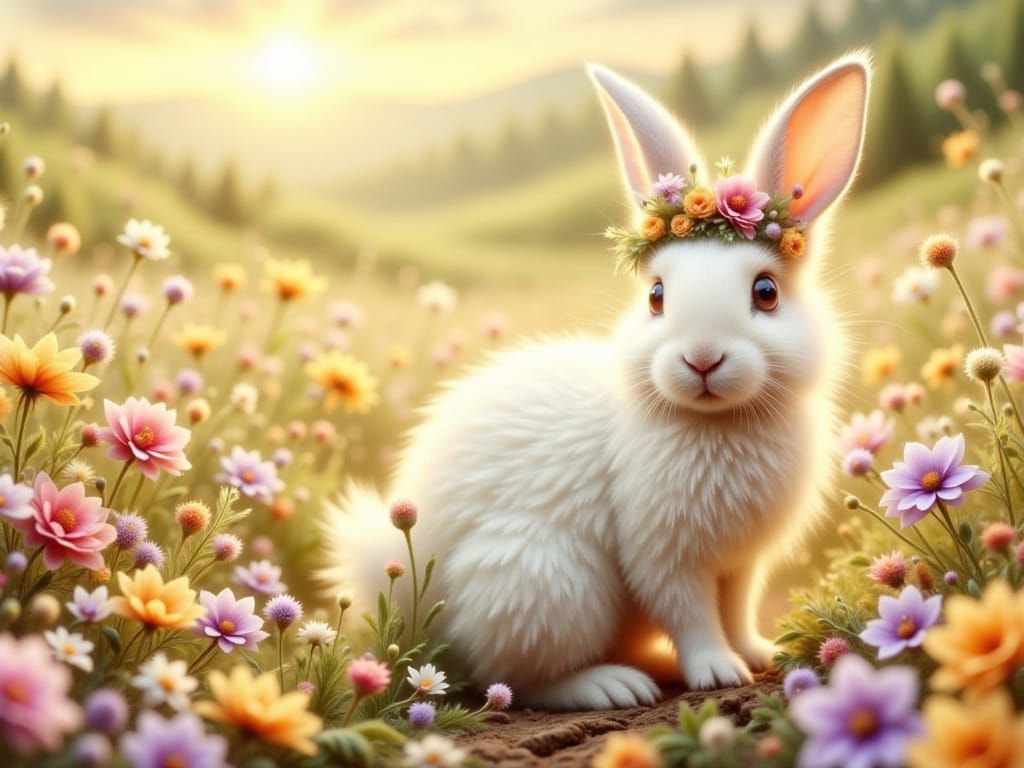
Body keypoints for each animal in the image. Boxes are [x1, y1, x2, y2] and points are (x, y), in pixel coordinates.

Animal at [324, 52, 870, 711]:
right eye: (656, 296)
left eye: (766, 292)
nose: (702, 359)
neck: (713, 422)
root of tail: (413, 598)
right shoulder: (663, 553)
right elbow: (692, 615)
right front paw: (719, 672)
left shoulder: (741, 564)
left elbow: (736, 611)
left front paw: (760, 655)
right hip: (545, 585)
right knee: (514, 679)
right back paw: (613, 684)